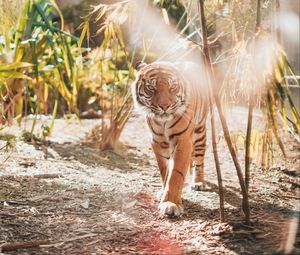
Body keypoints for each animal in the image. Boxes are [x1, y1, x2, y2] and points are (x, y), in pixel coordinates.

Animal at [132, 60, 209, 216]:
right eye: (151, 88)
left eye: (172, 87)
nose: (164, 106)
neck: (163, 122)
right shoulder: (158, 141)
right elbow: (165, 171)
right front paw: (164, 193)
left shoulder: (183, 139)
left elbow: (175, 174)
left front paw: (170, 203)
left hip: (199, 132)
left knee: (199, 159)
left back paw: (198, 182)